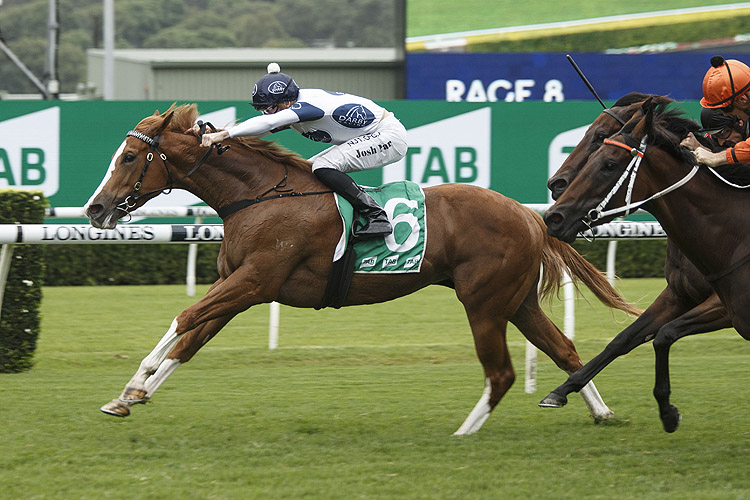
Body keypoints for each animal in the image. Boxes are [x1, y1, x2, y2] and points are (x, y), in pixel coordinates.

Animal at [88, 104, 640, 434]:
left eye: (130, 156)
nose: (96, 210)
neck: (260, 197)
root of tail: (528, 214)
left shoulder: (255, 281)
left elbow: (183, 320)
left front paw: (134, 383)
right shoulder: (236, 284)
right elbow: (189, 341)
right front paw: (130, 395)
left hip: (485, 301)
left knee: (507, 367)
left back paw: (472, 430)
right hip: (515, 299)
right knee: (562, 347)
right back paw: (601, 411)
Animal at [548, 97, 750, 430]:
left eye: (607, 158)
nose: (553, 215)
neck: (734, 234)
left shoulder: (720, 305)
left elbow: (664, 333)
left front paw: (668, 411)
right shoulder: (679, 295)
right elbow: (626, 338)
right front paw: (562, 389)